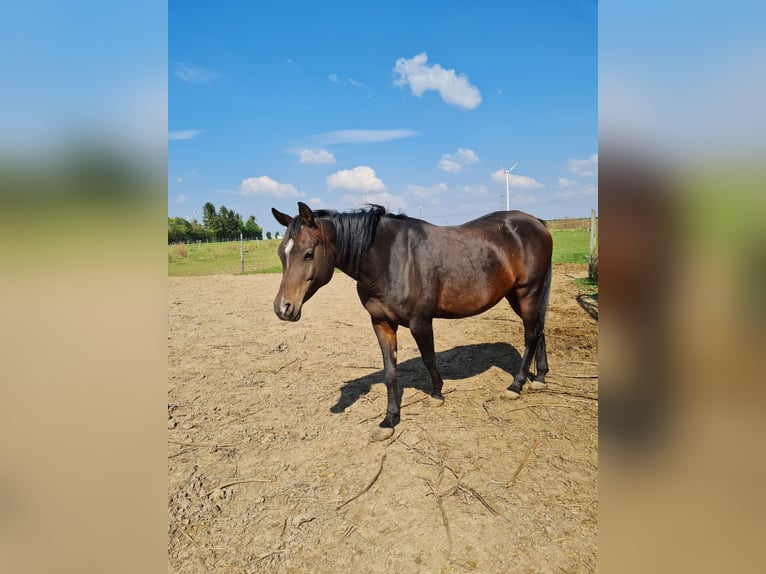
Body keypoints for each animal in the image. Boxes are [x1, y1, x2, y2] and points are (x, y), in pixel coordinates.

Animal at [272, 201, 556, 440]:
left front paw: (437, 394)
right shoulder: (381, 323)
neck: (389, 260)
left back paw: (516, 385)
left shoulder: (421, 322)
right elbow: (390, 372)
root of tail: (537, 223)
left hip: (528, 292)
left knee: (531, 334)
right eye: (281, 254)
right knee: (539, 329)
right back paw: (540, 378)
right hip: (516, 295)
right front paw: (389, 420)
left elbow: (428, 358)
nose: (283, 308)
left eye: (308, 253)